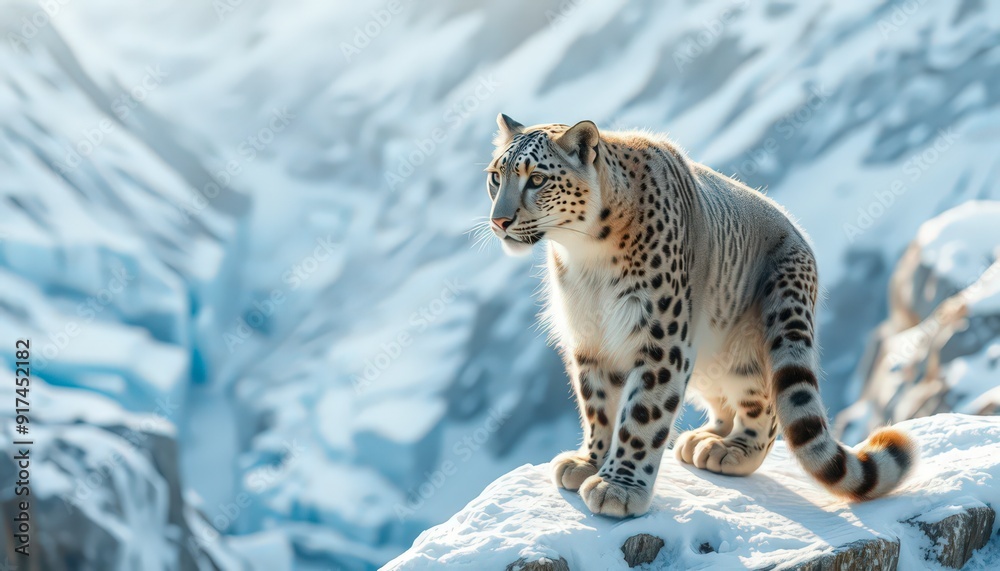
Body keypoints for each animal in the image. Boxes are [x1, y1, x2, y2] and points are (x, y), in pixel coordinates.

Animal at [483, 113, 917, 517]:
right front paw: (589, 462)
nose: (499, 221)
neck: (586, 259)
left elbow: (643, 413)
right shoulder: (590, 339)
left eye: (537, 178)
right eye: (495, 177)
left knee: (765, 402)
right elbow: (598, 405)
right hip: (708, 359)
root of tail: (802, 241)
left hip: (764, 334)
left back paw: (732, 450)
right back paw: (702, 439)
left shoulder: (659, 337)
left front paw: (618, 488)